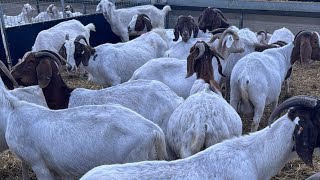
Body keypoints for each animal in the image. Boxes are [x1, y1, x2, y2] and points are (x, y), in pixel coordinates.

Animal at [0, 61, 170, 179]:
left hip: (134, 157)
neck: (13, 108)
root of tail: (153, 129)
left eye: (29, 63)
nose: (13, 73)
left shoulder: (38, 164)